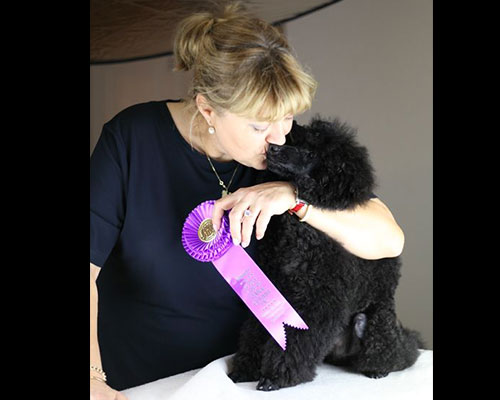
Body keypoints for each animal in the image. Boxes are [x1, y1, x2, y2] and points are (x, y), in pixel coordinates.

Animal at [228, 116, 424, 391]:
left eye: (311, 154)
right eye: (294, 142)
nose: (273, 149)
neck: (299, 234)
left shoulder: (318, 297)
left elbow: (298, 338)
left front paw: (277, 377)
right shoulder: (273, 284)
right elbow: (258, 330)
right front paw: (246, 368)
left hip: (376, 321)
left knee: (398, 351)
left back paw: (379, 368)